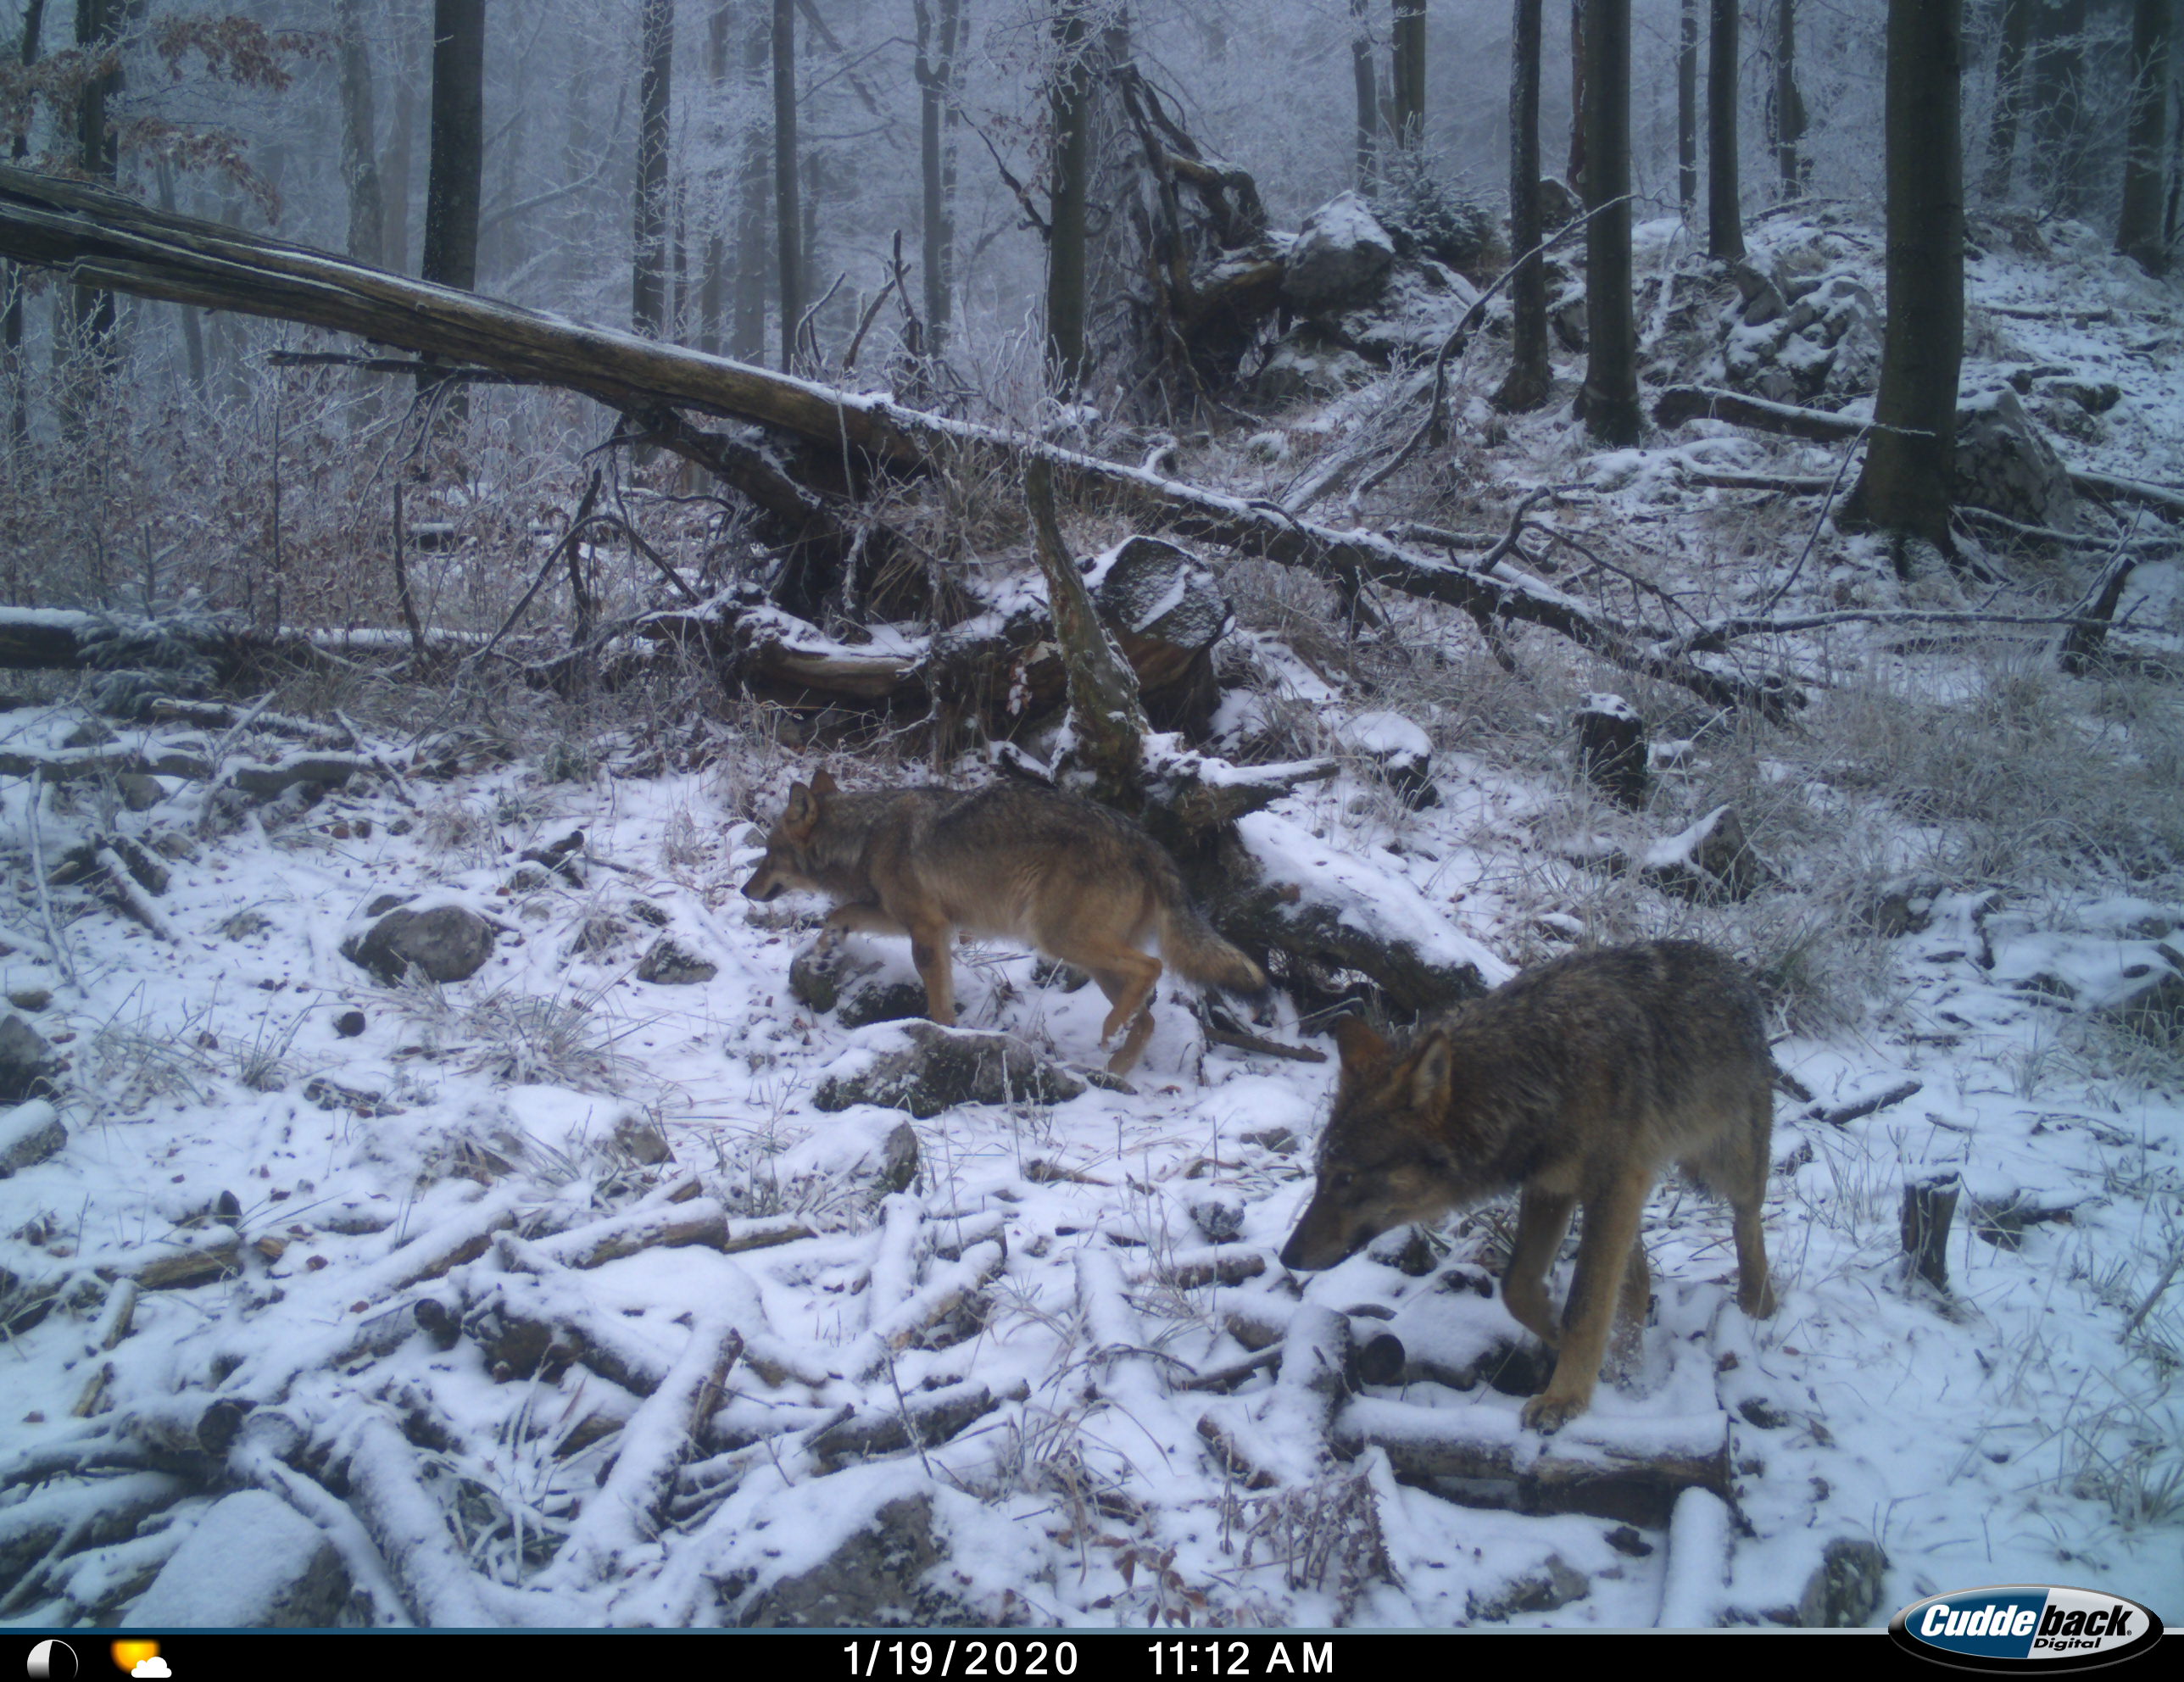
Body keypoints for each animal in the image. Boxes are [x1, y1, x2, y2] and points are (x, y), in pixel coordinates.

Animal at [738, 768, 1267, 1066]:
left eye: (768, 853)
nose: (745, 890)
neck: (867, 833)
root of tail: (1147, 842)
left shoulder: (927, 929)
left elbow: (938, 1002)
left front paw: (945, 1036)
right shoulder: (912, 918)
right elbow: (840, 912)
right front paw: (827, 945)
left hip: (1060, 941)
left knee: (1152, 970)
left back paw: (1110, 1040)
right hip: (1089, 961)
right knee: (1149, 1017)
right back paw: (1114, 1069)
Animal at [1275, 934, 1773, 1423]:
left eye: (1346, 1178)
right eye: (1320, 1173)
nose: (1288, 1256)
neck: (1542, 1071)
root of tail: (1730, 967)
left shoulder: (1611, 1185)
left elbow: (1585, 1307)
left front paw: (1565, 1399)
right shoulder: (1551, 1187)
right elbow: (1517, 1286)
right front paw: (1558, 1334)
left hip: (1724, 1167)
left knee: (1746, 1222)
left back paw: (1755, 1306)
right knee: (1636, 1278)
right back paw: (1626, 1360)